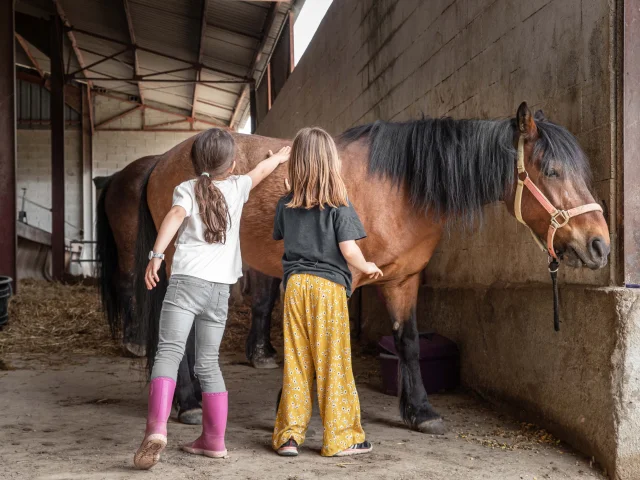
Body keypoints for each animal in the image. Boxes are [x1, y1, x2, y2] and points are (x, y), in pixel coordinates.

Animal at [129, 102, 609, 434]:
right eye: (552, 170)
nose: (600, 245)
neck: (398, 187)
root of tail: (161, 161)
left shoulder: (403, 280)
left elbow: (408, 343)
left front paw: (421, 412)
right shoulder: (342, 278)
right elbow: (323, 343)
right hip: (176, 266)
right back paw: (189, 403)